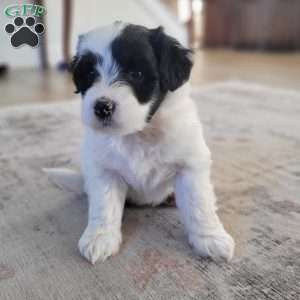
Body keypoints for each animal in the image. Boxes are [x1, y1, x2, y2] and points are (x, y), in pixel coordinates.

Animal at [68, 22, 234, 264]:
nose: (102, 107)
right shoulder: (104, 169)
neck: (139, 133)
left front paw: (210, 239)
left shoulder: (190, 164)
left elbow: (199, 202)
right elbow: (103, 205)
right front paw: (100, 238)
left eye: (136, 73)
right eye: (90, 74)